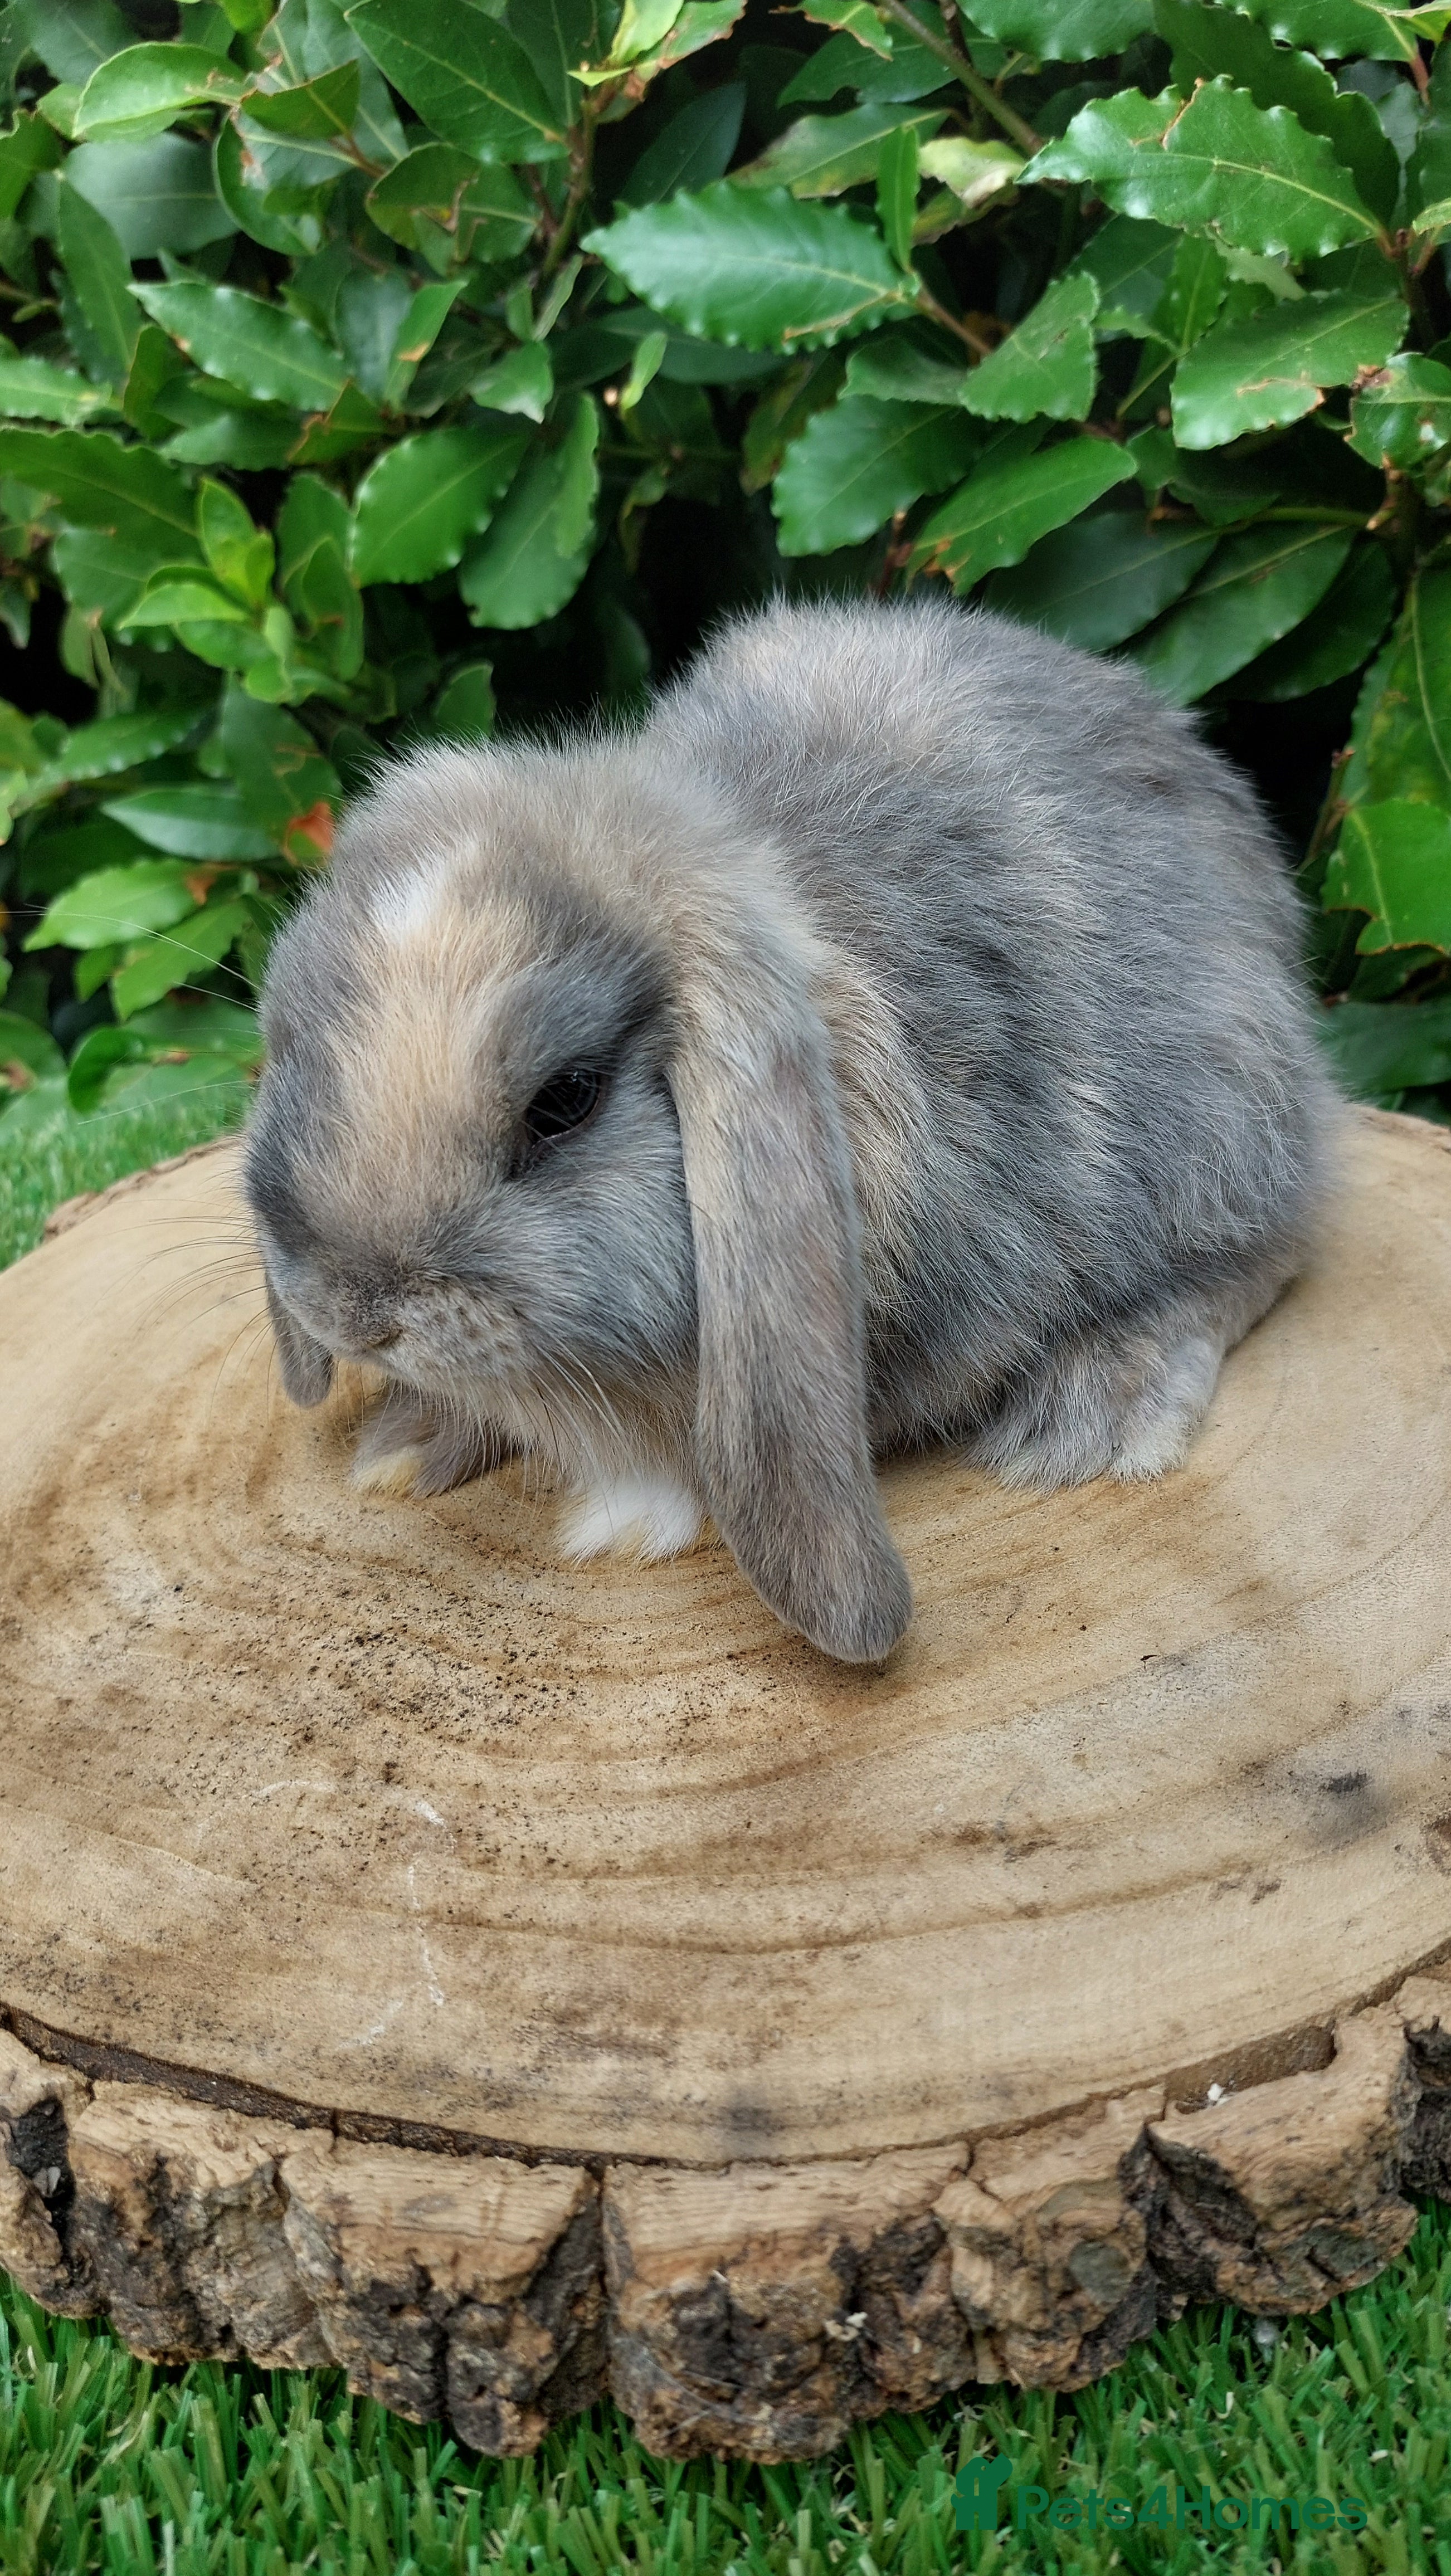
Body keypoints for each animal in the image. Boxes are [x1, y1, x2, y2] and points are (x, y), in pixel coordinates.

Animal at [244, 596, 1335, 1665]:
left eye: (564, 1100)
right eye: (294, 1050)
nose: (349, 1313)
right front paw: (407, 1444)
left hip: (1225, 1117)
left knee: (1267, 1250)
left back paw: (1097, 1409)